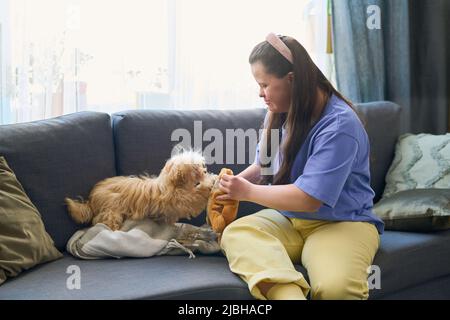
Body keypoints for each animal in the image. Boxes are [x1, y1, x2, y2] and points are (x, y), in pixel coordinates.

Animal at [64, 151, 216, 231]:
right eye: (195, 169)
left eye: (203, 168)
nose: (205, 171)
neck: (171, 184)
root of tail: (91, 199)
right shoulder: (182, 200)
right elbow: (196, 196)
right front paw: (209, 185)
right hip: (112, 207)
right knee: (103, 220)